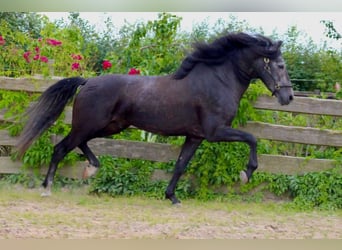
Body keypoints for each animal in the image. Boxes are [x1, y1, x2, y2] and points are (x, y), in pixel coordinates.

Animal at [17, 32, 292, 204]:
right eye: (280, 66)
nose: (288, 97)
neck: (218, 80)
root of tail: (87, 82)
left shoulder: (195, 136)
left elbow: (180, 165)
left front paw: (172, 197)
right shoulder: (216, 132)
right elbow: (252, 139)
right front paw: (246, 174)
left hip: (109, 126)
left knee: (78, 144)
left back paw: (90, 169)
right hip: (90, 125)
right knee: (61, 148)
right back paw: (48, 188)